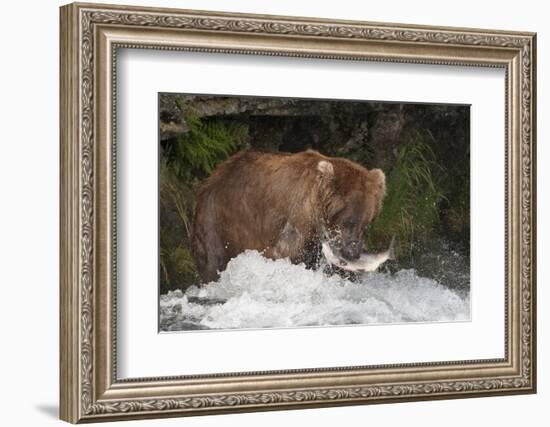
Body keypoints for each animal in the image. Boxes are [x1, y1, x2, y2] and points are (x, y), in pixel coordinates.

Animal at [192, 150, 386, 284]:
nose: (353, 252)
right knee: (212, 261)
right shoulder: (294, 222)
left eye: (366, 224)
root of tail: (214, 173)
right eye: (348, 221)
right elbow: (283, 255)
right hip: (215, 219)